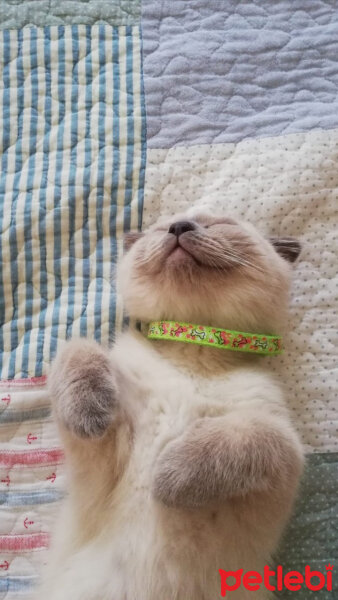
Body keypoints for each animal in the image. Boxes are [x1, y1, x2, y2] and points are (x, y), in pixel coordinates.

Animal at [38, 210, 304, 600]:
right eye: (165, 228)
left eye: (218, 224)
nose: (180, 227)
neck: (196, 346)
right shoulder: (103, 454)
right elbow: (79, 347)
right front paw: (91, 411)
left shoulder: (284, 451)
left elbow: (245, 439)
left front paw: (166, 477)